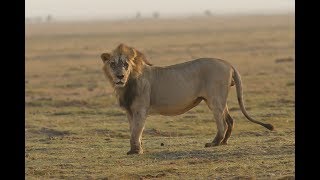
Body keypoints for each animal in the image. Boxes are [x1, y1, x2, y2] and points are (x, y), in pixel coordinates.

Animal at [99, 43, 272, 155]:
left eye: (126, 64)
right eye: (113, 64)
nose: (119, 76)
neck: (125, 85)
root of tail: (228, 63)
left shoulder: (141, 109)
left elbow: (136, 130)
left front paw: (136, 151)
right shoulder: (129, 111)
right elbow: (134, 130)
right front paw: (135, 148)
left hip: (214, 99)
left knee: (221, 122)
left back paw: (214, 143)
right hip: (218, 99)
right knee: (230, 119)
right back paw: (224, 142)